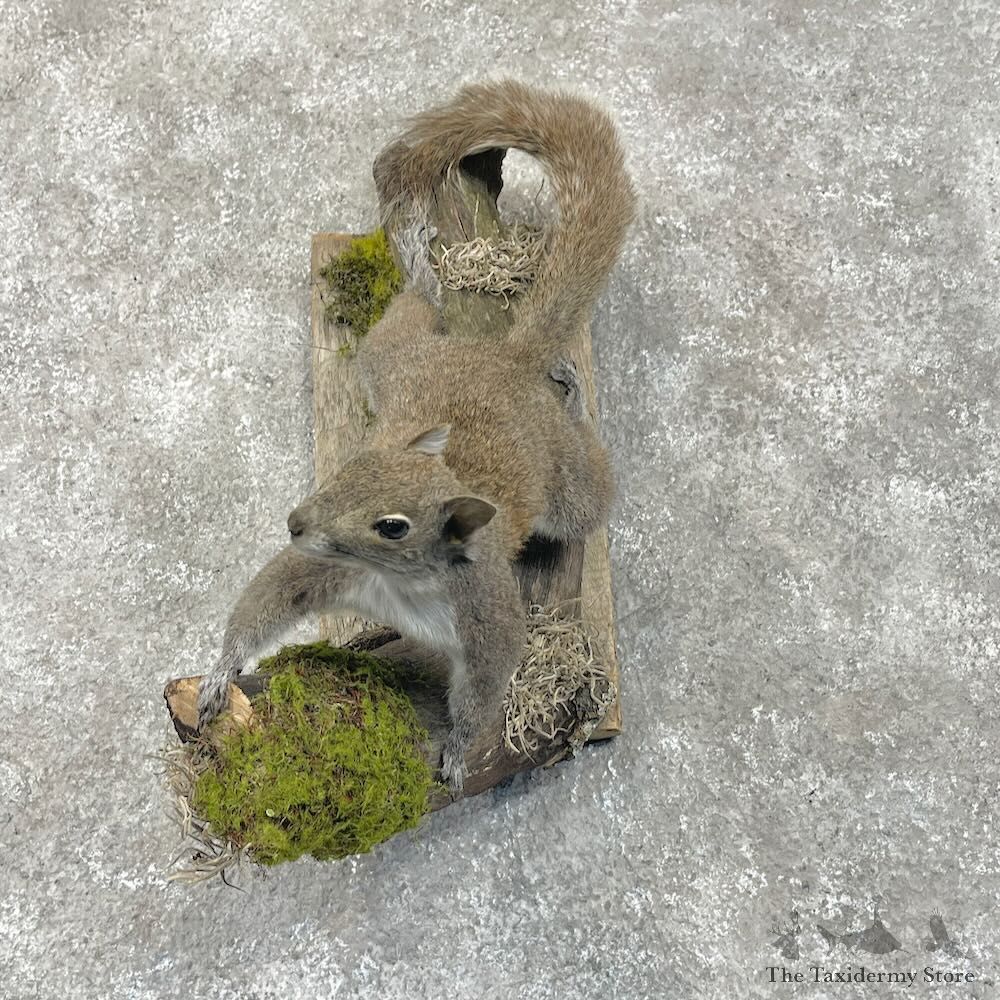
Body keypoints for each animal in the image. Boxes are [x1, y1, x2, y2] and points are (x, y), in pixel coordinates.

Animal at [196, 80, 635, 792]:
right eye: (349, 470)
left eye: (394, 526)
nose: (296, 522)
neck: (395, 587)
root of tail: (505, 361)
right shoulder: (325, 569)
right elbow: (271, 597)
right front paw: (218, 673)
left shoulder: (486, 616)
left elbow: (485, 688)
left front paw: (457, 750)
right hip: (390, 361)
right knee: (408, 315)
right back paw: (421, 266)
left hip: (567, 482)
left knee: (589, 492)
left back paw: (569, 393)